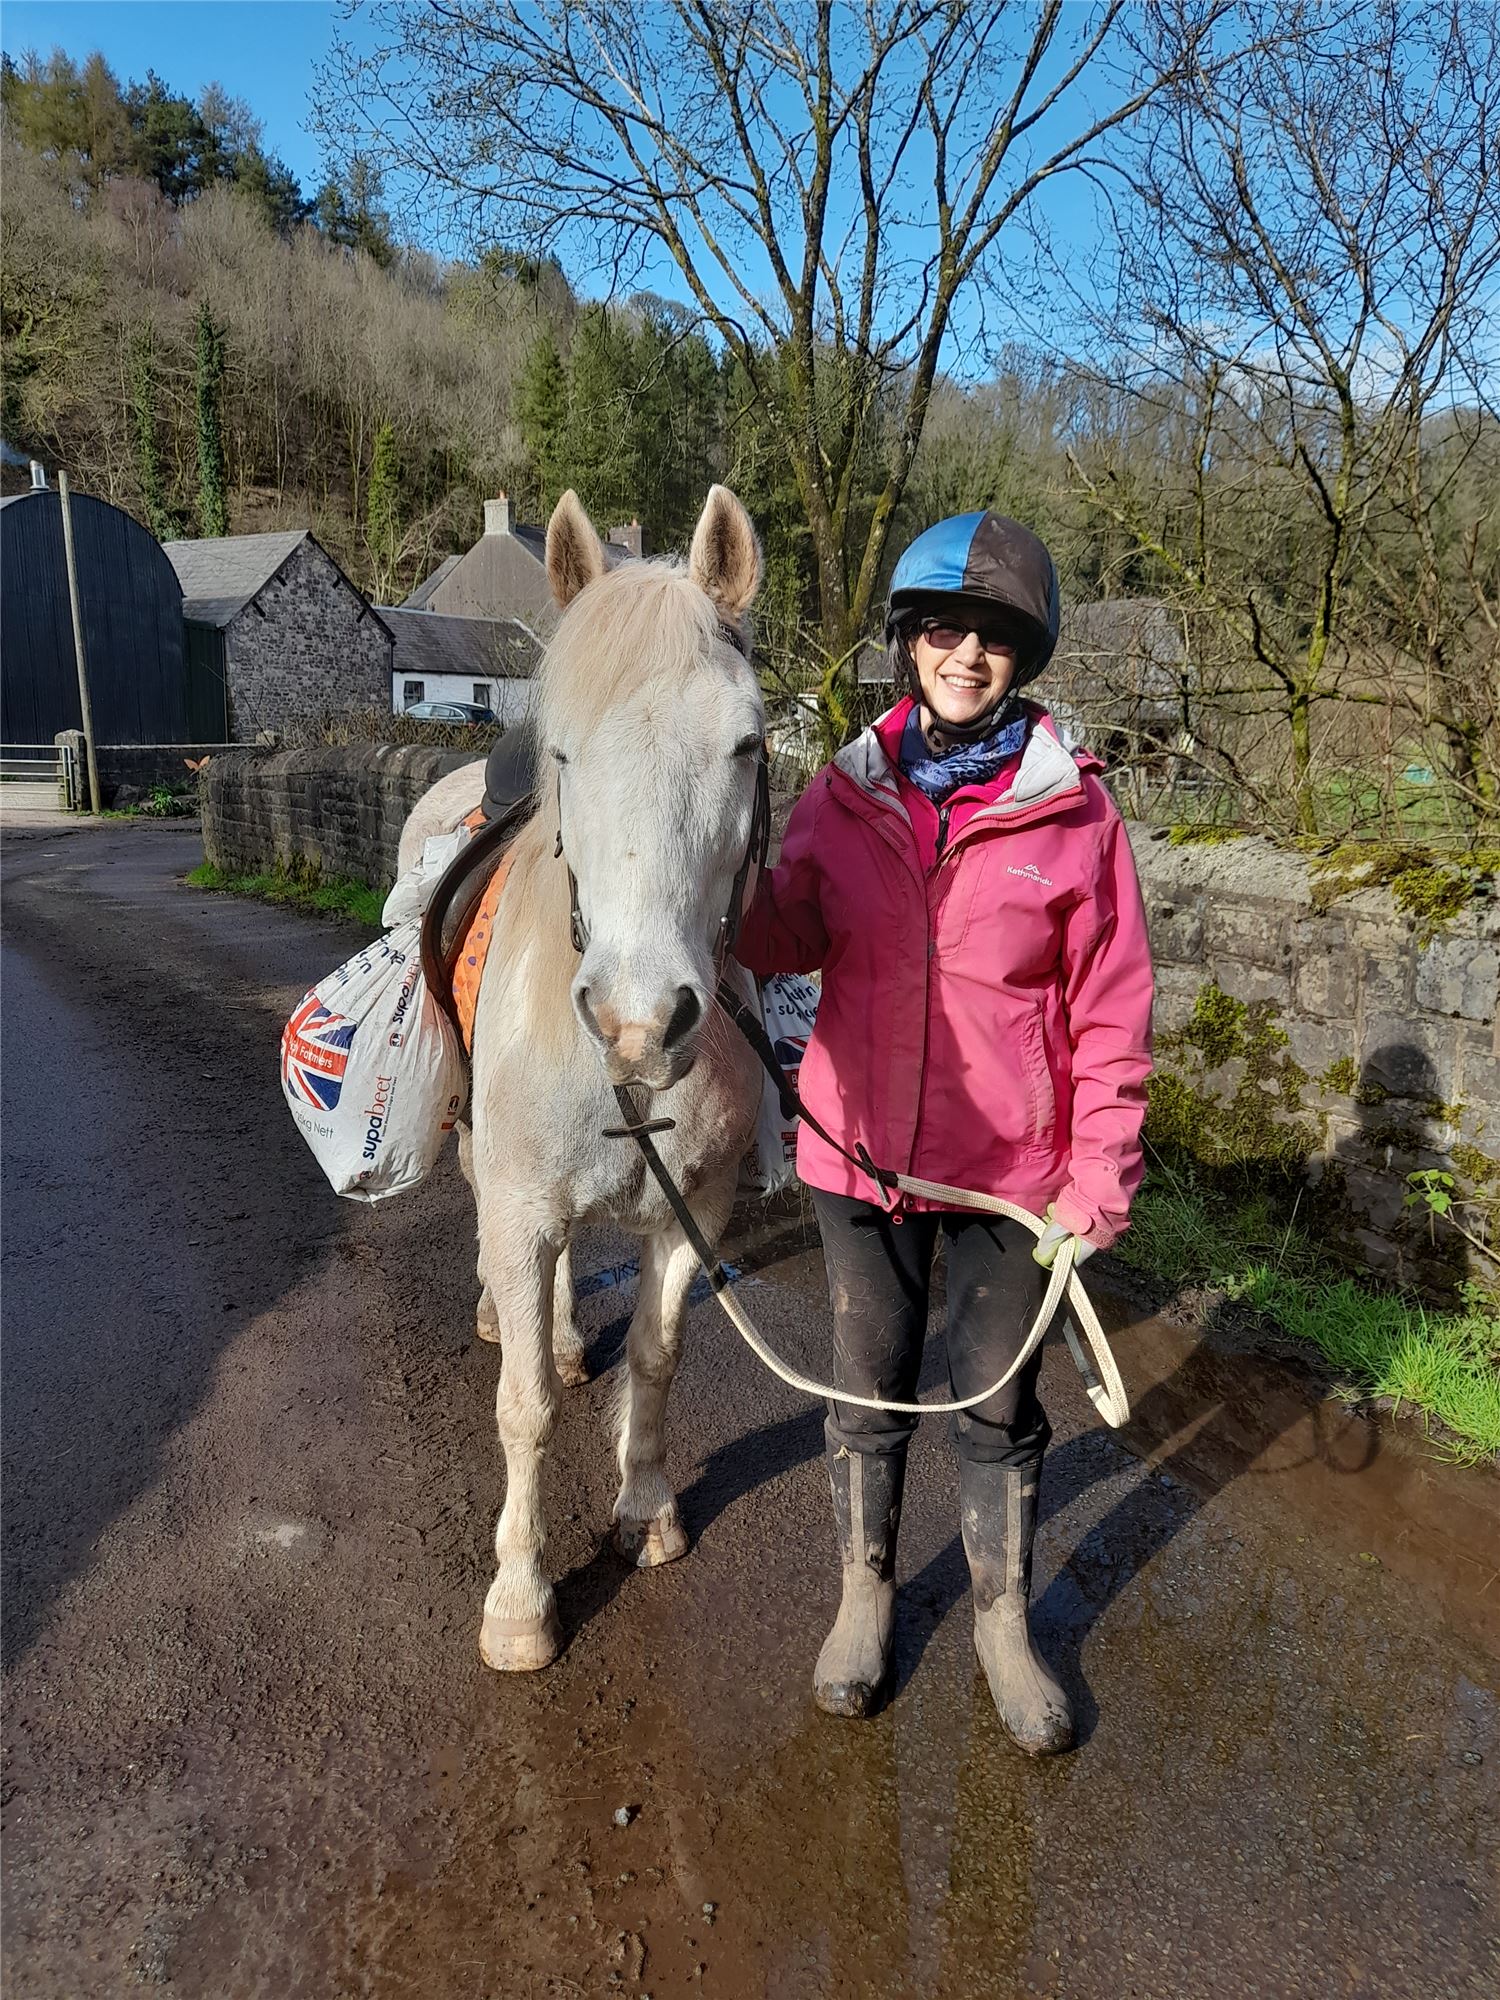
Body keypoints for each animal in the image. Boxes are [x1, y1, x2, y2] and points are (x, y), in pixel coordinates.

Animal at [397, 486, 766, 1672]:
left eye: (748, 743)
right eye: (564, 754)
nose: (640, 1021)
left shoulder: (694, 1214)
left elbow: (655, 1358)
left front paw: (644, 1509)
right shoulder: (521, 1205)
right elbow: (522, 1409)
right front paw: (520, 1597)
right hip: (491, 1162)